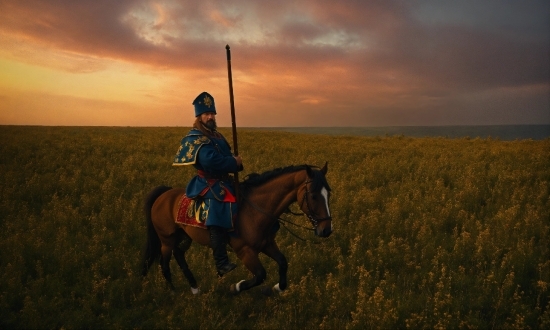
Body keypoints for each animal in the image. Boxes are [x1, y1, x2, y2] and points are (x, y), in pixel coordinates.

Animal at [140, 162, 334, 294]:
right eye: (314, 195)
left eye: (328, 194)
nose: (326, 230)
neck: (255, 209)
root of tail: (164, 194)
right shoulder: (245, 251)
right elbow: (260, 275)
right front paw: (236, 287)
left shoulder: (267, 244)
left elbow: (283, 262)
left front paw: (278, 287)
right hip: (166, 240)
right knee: (164, 263)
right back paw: (173, 291)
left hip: (184, 237)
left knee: (179, 254)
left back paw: (194, 287)